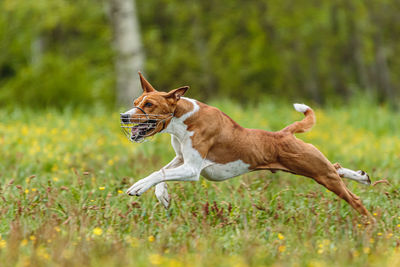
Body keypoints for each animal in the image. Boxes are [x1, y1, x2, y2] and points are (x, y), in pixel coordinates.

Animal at [121, 72, 372, 219]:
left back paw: (370, 225)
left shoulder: (192, 169)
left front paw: (138, 187)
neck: (183, 119)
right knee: (336, 167)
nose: (124, 116)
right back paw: (361, 176)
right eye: (135, 102)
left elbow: (158, 173)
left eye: (149, 104)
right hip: (315, 168)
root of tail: (285, 133)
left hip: (318, 172)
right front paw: (162, 196)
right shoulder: (182, 159)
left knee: (355, 199)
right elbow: (162, 172)